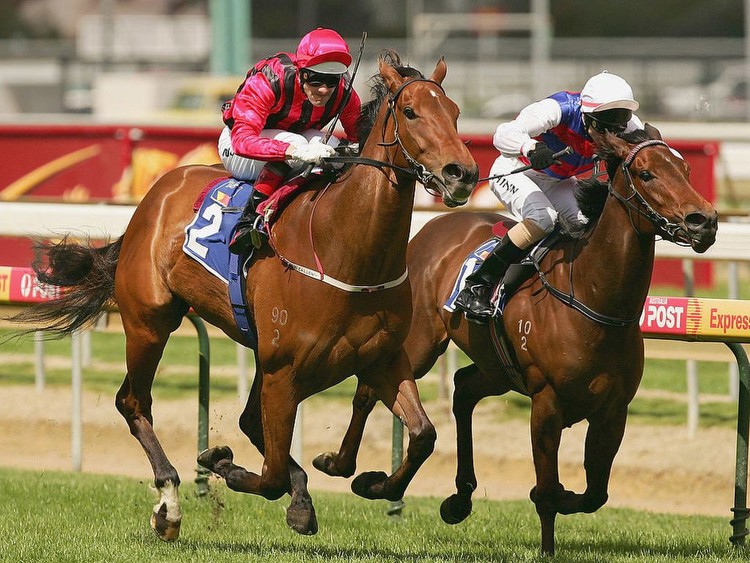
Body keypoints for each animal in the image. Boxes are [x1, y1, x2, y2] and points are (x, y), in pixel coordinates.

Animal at [14, 54, 482, 540]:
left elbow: (423, 434)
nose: (462, 173)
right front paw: (220, 462)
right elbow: (270, 474)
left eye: (455, 112)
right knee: (134, 402)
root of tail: (154, 196)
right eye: (411, 112)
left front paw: (371, 482)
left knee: (248, 422)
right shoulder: (283, 369)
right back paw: (169, 503)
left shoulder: (382, 358)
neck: (347, 250)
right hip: (150, 321)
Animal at [314, 124, 720, 556]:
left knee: (463, 389)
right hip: (418, 343)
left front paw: (560, 497)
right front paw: (546, 544)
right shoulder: (546, 402)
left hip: (498, 368)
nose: (705, 221)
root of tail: (434, 228)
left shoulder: (614, 409)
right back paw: (353, 471)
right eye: (646, 174)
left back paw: (458, 498)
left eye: (685, 169)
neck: (594, 297)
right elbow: (547, 489)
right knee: (370, 391)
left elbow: (594, 493)